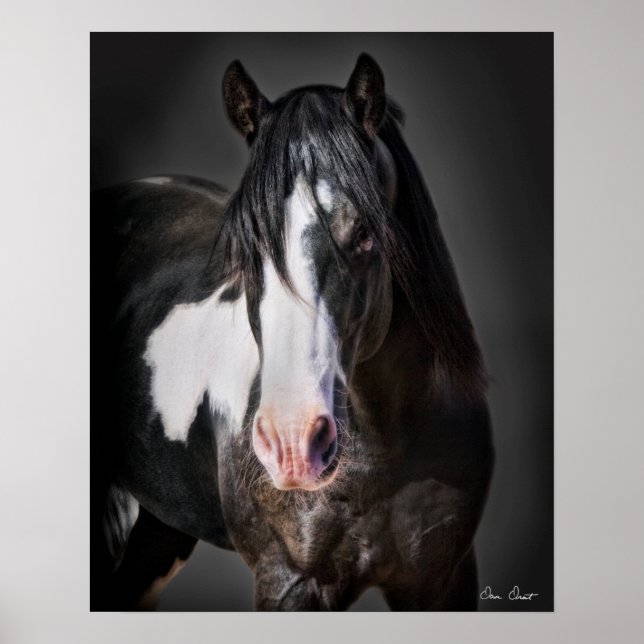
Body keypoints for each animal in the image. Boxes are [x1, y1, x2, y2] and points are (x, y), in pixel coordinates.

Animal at [90, 53, 494, 611]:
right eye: (247, 240)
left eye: (365, 233)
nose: (292, 443)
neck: (387, 448)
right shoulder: (291, 584)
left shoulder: (442, 580)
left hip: (158, 529)